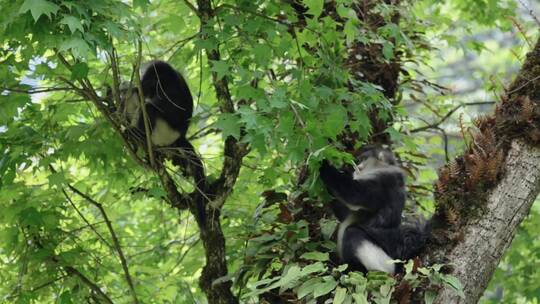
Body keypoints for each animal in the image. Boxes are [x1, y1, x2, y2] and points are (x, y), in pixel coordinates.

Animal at [117, 60, 206, 226]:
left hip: (163, 132)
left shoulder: (172, 89)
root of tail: (178, 138)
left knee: (149, 108)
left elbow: (166, 109)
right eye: (146, 80)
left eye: (152, 82)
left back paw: (136, 135)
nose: (144, 86)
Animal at [318, 146, 428, 274]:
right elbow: (343, 213)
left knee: (353, 233)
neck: (382, 168)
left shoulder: (383, 181)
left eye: (363, 159)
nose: (357, 167)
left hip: (387, 263)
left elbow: (354, 195)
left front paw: (323, 164)